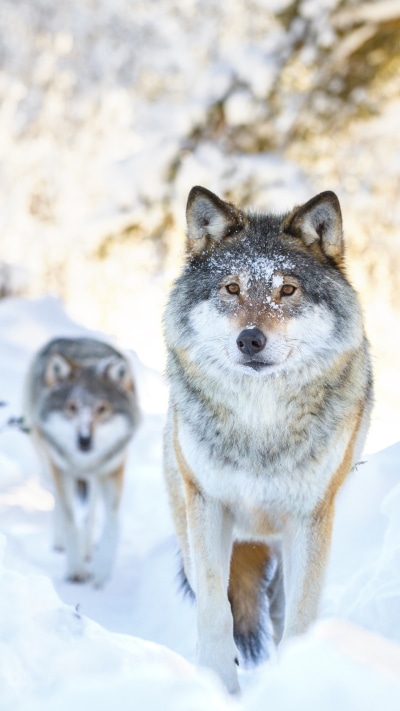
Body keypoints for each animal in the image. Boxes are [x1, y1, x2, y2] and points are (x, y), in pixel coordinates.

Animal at [26, 337, 140, 586]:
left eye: (102, 408)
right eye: (72, 407)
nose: (84, 440)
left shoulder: (112, 469)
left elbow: (112, 522)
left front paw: (103, 569)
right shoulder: (61, 469)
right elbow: (70, 520)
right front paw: (76, 569)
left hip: (95, 478)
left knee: (91, 512)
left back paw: (88, 550)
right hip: (48, 463)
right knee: (58, 503)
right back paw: (61, 543)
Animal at [163, 186, 372, 692]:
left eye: (287, 290)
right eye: (232, 289)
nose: (250, 340)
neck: (260, 423)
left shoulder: (311, 517)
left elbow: (298, 617)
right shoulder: (209, 506)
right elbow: (216, 613)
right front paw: (217, 686)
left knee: (278, 607)